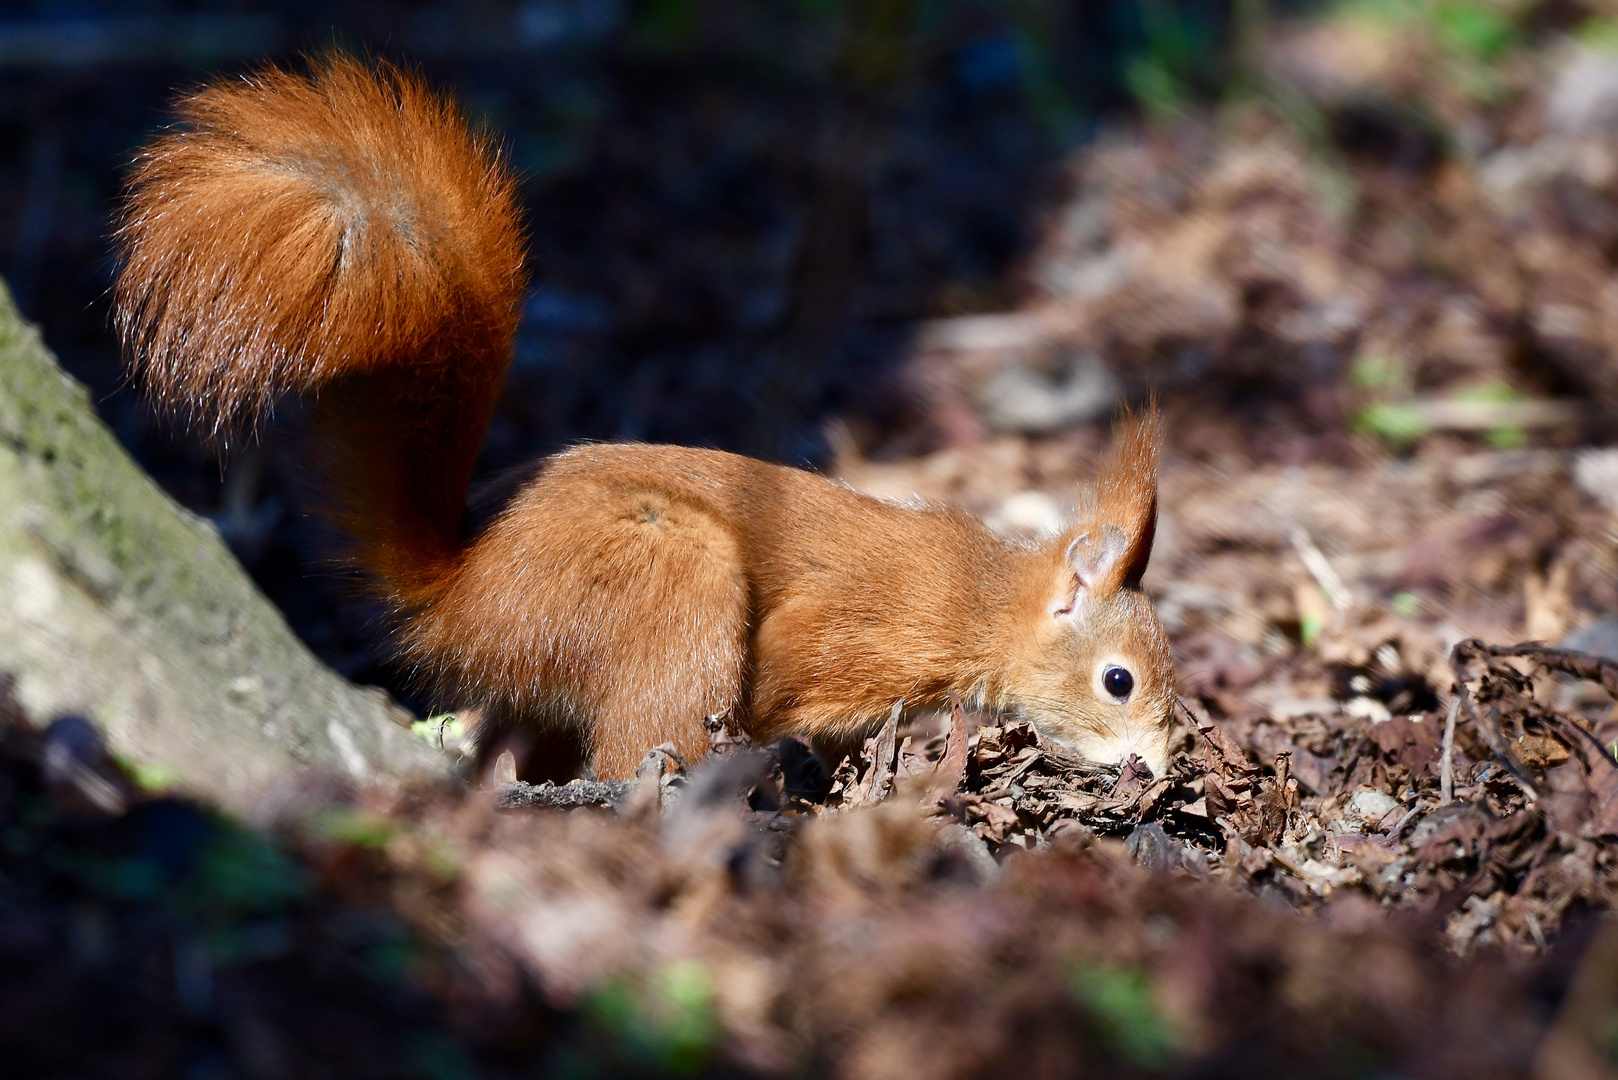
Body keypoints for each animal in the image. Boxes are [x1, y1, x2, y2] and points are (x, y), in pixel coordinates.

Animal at [117, 57, 1177, 777]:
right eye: (1118, 680)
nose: (1160, 772)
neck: (977, 601)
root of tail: (462, 599)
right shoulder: (840, 635)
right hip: (674, 578)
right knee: (629, 750)